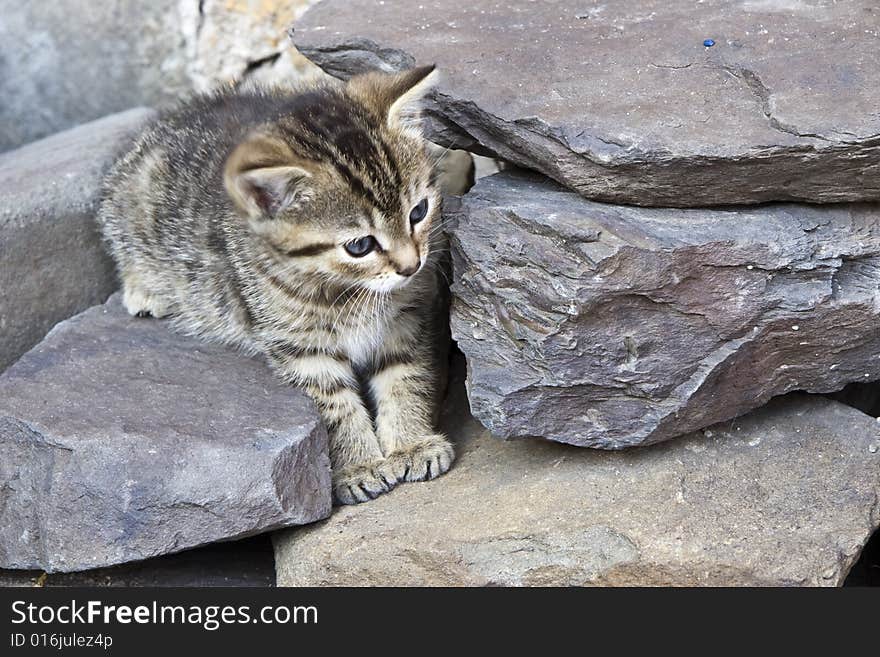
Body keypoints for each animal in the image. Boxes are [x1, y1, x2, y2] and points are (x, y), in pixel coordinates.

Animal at [98, 66, 454, 504]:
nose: (411, 265)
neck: (346, 290)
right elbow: (335, 407)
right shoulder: (300, 348)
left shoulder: (405, 320)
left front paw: (411, 443)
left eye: (418, 212)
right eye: (359, 245)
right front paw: (358, 466)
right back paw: (145, 289)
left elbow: (405, 378)